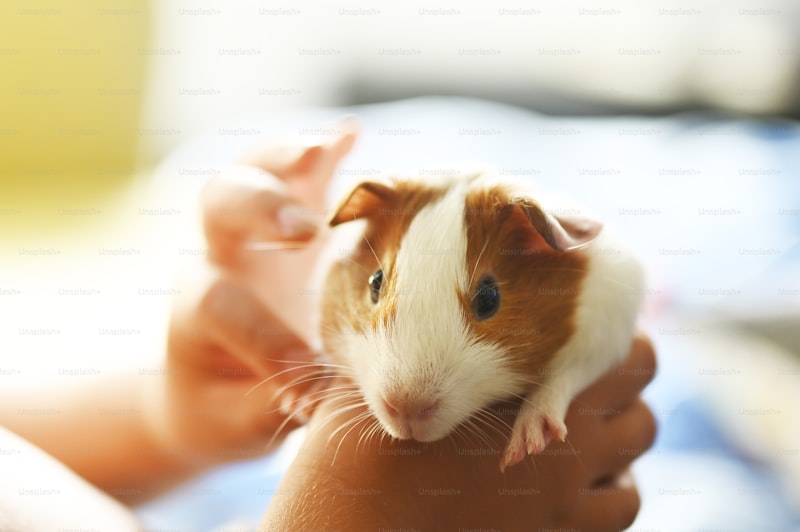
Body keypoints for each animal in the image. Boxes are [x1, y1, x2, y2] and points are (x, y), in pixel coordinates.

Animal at [316, 170, 644, 471]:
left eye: (489, 297)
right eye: (375, 282)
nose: (406, 407)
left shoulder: (607, 334)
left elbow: (564, 378)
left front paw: (526, 445)